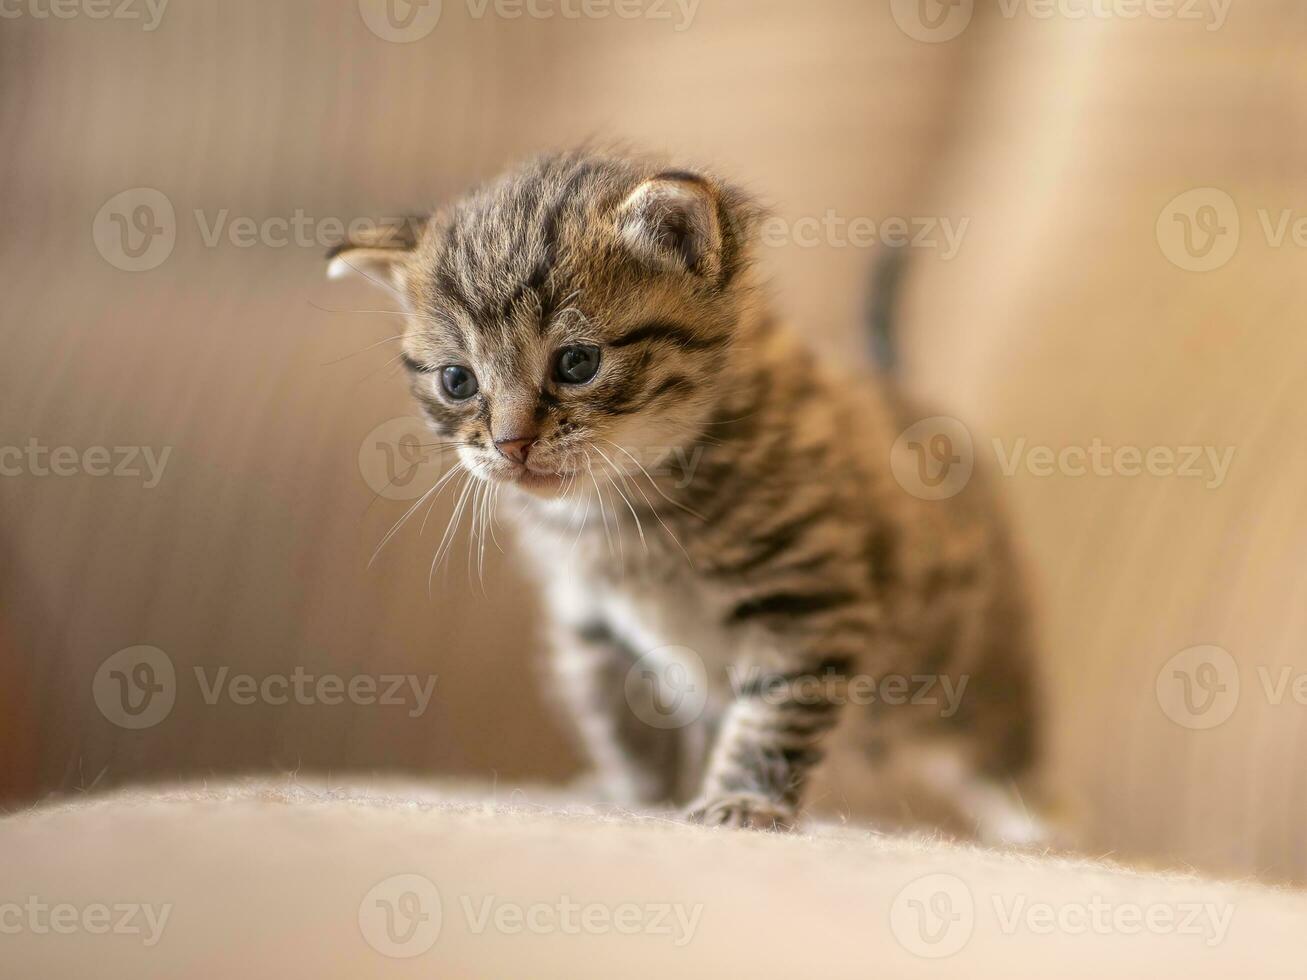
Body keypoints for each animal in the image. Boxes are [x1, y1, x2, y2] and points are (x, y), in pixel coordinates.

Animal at [334, 149, 1040, 841]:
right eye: (457, 381)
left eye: (576, 364)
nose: (511, 445)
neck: (625, 508)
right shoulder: (589, 619)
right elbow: (619, 718)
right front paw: (642, 796)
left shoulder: (809, 597)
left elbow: (774, 710)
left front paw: (745, 802)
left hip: (967, 669)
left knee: (1005, 745)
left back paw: (1038, 827)